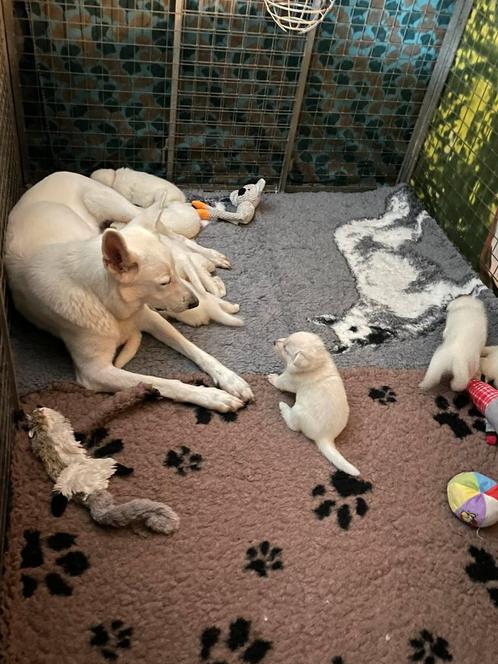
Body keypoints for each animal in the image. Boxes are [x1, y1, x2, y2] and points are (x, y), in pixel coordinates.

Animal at [7, 171, 255, 410]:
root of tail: (48, 177)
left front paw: (231, 379)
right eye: (164, 282)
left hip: (120, 208)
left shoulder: (150, 317)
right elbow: (162, 382)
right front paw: (212, 396)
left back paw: (213, 257)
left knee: (173, 235)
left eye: (173, 275)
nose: (195, 303)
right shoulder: (95, 372)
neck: (107, 304)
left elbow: (196, 350)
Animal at [266, 332, 360, 478]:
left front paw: (273, 377)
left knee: (293, 426)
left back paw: (283, 407)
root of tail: (326, 438)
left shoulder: (288, 379)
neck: (319, 364)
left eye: (286, 349)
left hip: (298, 411)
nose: (274, 341)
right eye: (286, 339)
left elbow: (280, 381)